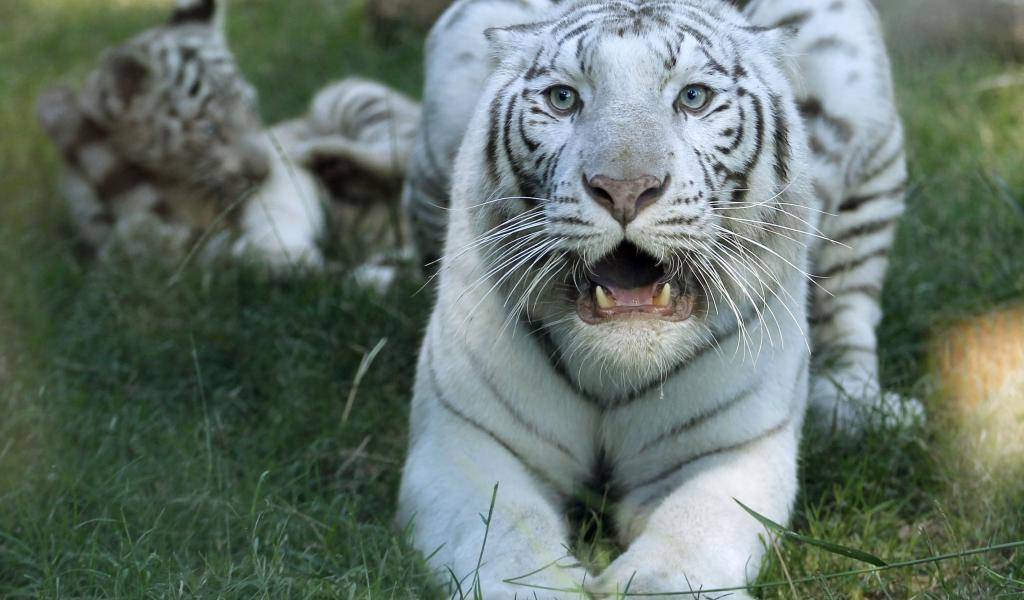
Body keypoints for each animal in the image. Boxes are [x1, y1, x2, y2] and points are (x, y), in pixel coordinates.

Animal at [397, 0, 915, 597]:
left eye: (693, 97)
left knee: (851, 313)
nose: (624, 189)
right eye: (563, 98)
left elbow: (689, 536)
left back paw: (860, 406)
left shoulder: (727, 451)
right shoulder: (464, 441)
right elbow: (504, 533)